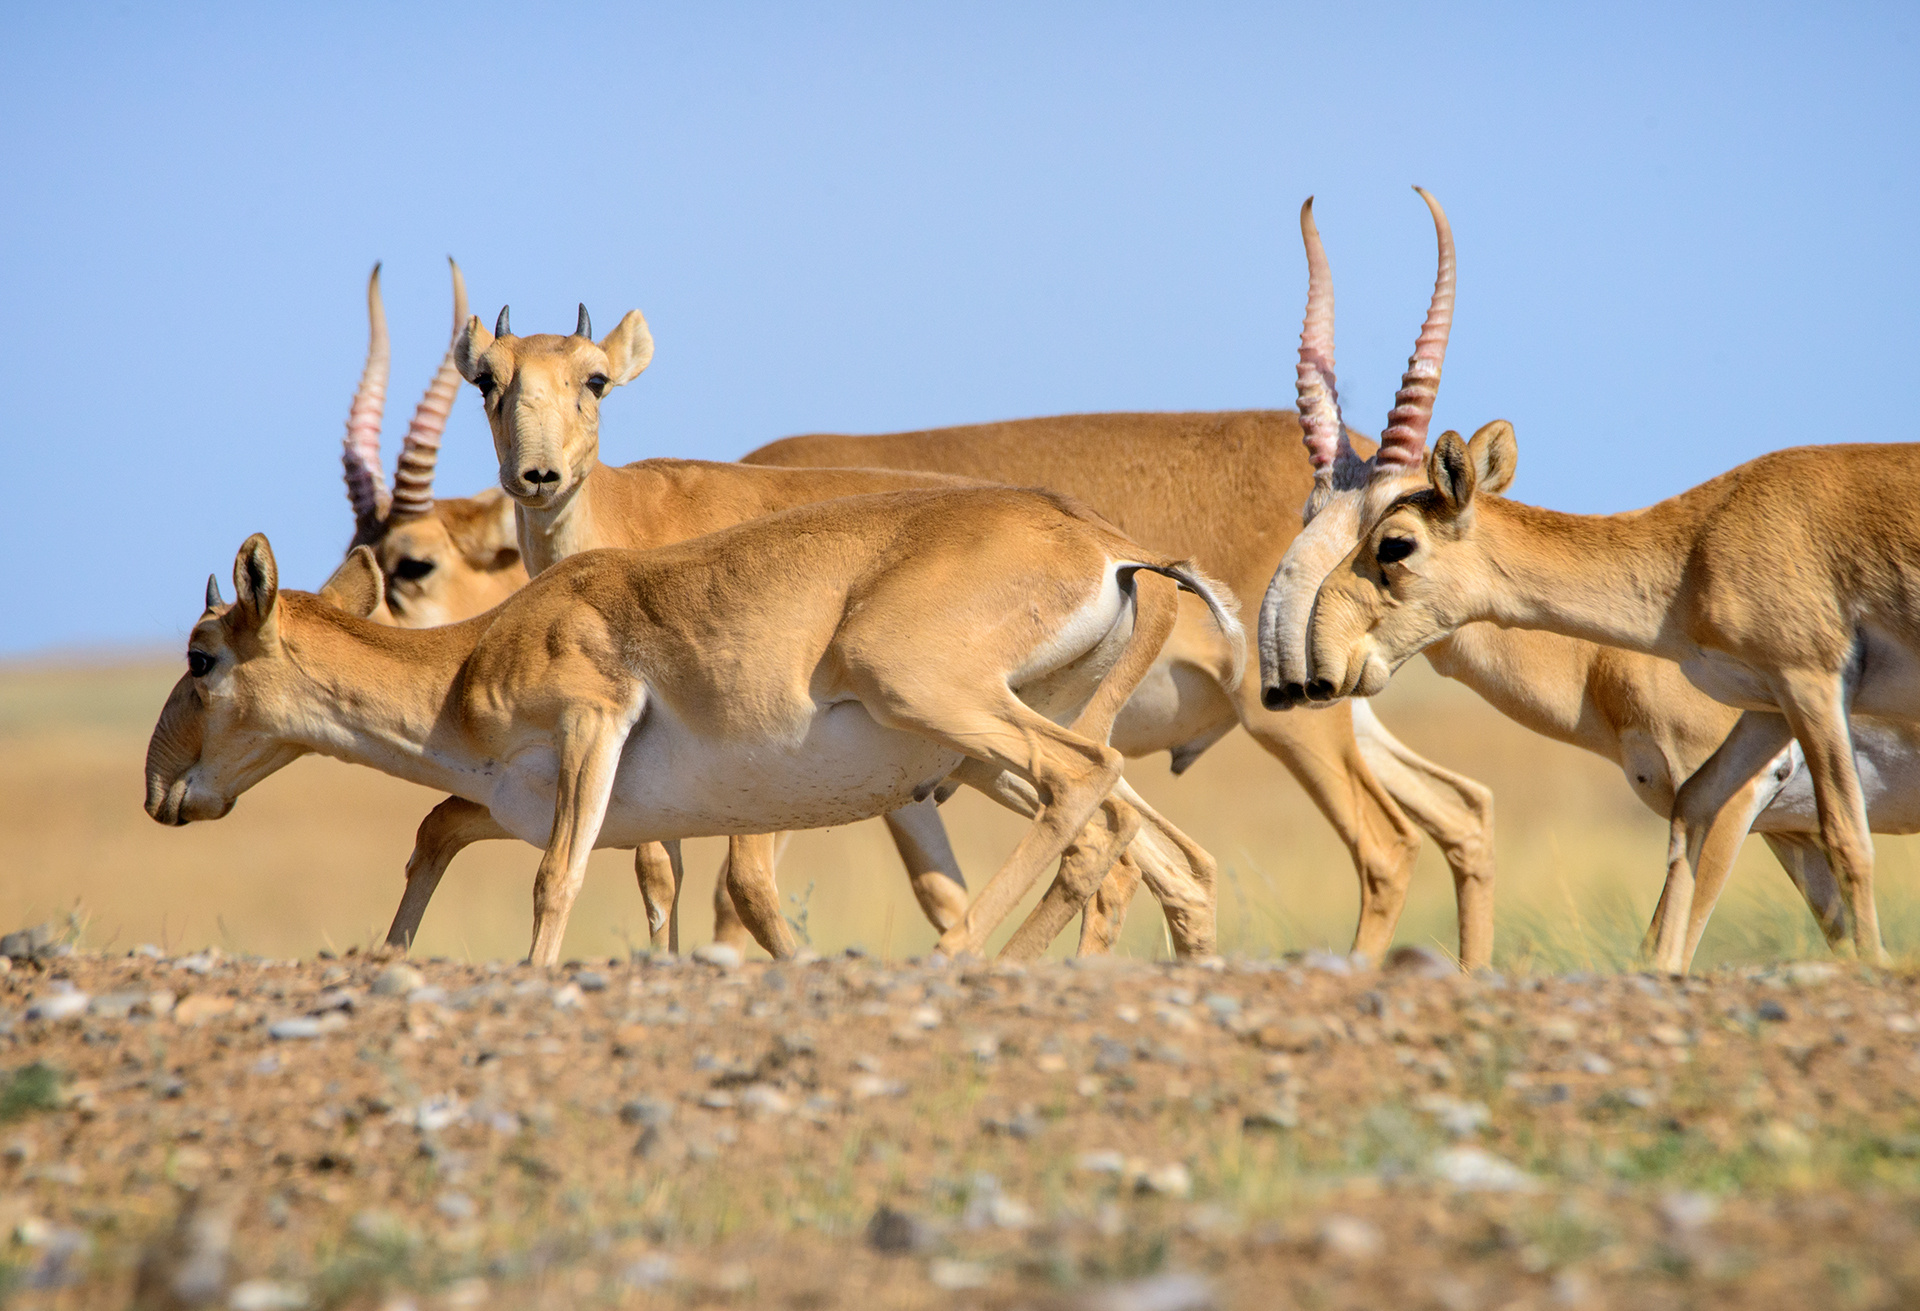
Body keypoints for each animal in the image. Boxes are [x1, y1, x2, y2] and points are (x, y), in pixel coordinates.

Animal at [142, 481, 1236, 963]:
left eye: (202, 657)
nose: (159, 790)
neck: (473, 657)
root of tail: (1108, 545)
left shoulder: (589, 733)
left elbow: (554, 883)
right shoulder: (518, 802)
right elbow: (435, 831)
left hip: (948, 713)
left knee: (1086, 785)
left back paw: (956, 961)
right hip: (972, 750)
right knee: (1135, 840)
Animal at [1259, 187, 1920, 975]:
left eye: (1393, 538)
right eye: (1309, 513)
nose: (1305, 672)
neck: (1696, 546)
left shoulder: (1799, 707)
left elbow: (1828, 851)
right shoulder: (1768, 740)